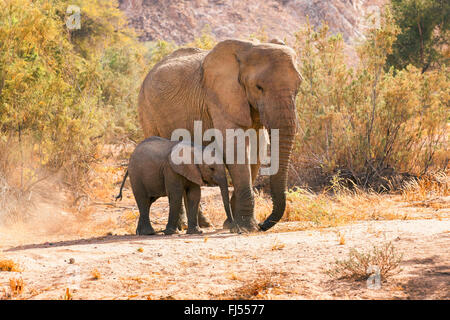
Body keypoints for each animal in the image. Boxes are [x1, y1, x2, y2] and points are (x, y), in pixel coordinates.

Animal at [137, 39, 302, 232]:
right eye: (259, 87)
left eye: (298, 88)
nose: (263, 224)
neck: (247, 49)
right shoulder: (219, 97)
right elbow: (235, 147)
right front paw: (246, 228)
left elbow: (257, 151)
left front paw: (234, 224)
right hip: (146, 109)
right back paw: (181, 227)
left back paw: (203, 224)